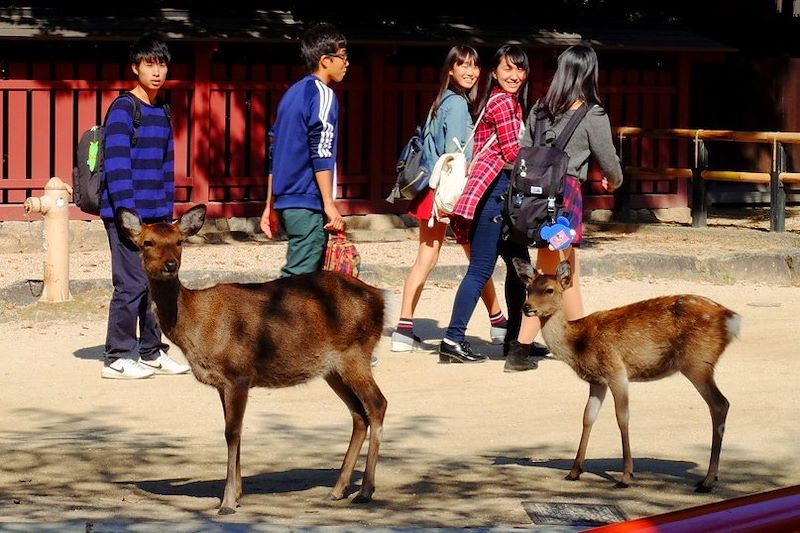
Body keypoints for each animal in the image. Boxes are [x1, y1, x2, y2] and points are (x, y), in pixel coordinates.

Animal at [118, 203, 388, 512]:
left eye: (179, 241)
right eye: (147, 242)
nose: (171, 265)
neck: (196, 327)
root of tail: (381, 297)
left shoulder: (239, 372)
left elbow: (232, 432)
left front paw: (227, 501)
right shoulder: (222, 382)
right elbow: (231, 429)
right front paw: (237, 494)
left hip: (356, 354)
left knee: (377, 405)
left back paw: (365, 490)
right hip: (332, 367)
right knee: (358, 414)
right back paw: (338, 489)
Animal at [512, 256, 736, 490]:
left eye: (549, 290)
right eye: (528, 288)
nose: (526, 307)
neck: (578, 344)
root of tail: (732, 319)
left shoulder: (616, 371)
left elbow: (622, 417)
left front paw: (626, 476)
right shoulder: (597, 381)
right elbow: (587, 417)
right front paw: (574, 472)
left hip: (698, 363)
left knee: (720, 404)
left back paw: (708, 480)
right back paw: (711, 477)